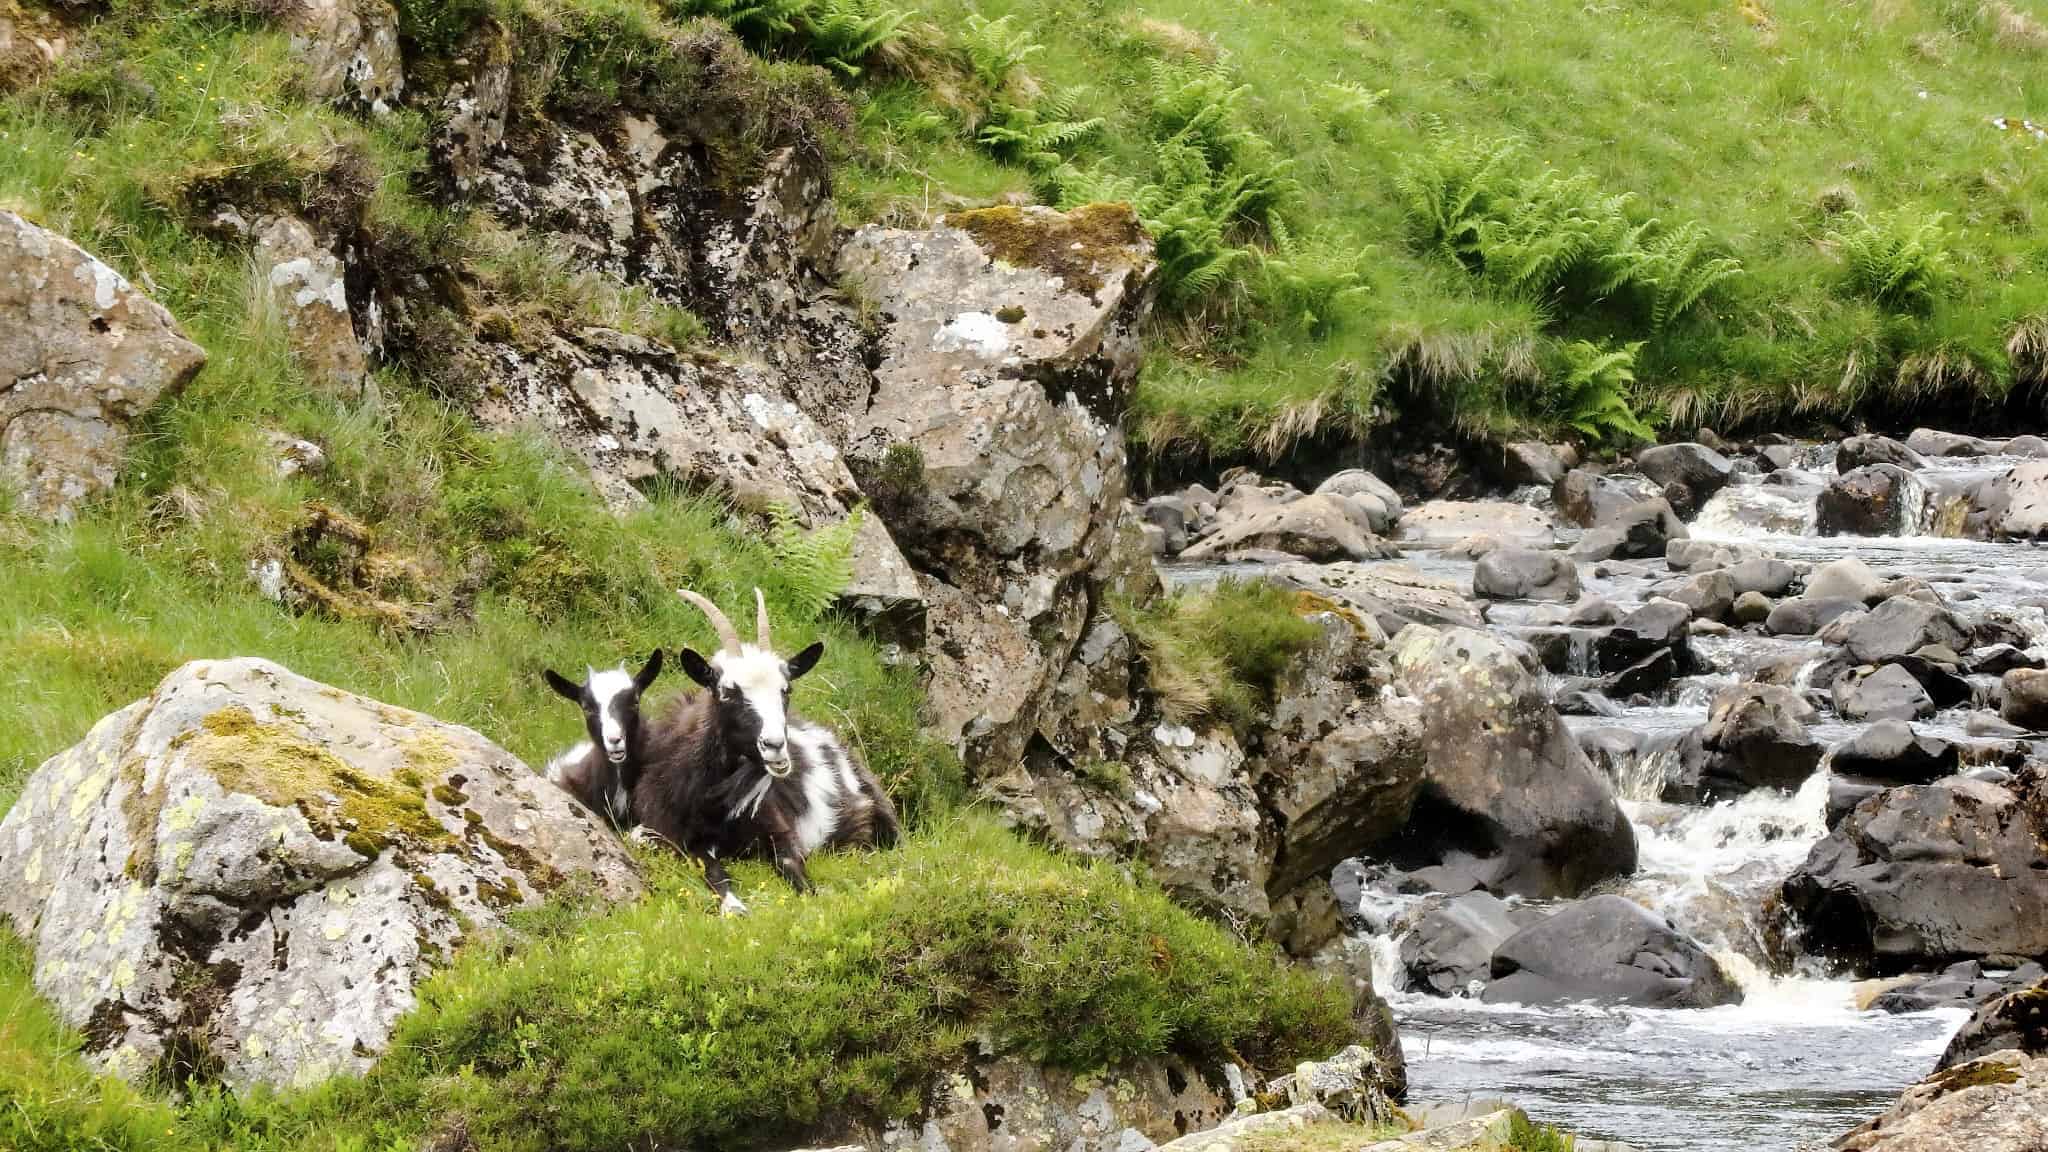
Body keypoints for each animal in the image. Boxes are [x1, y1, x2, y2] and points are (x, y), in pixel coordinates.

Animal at [634, 586, 901, 910]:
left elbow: (791, 864)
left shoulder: (779, 828)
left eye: (786, 689)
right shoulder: (673, 835)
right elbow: (711, 869)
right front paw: (735, 907)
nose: (775, 746)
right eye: (726, 691)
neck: (715, 806)